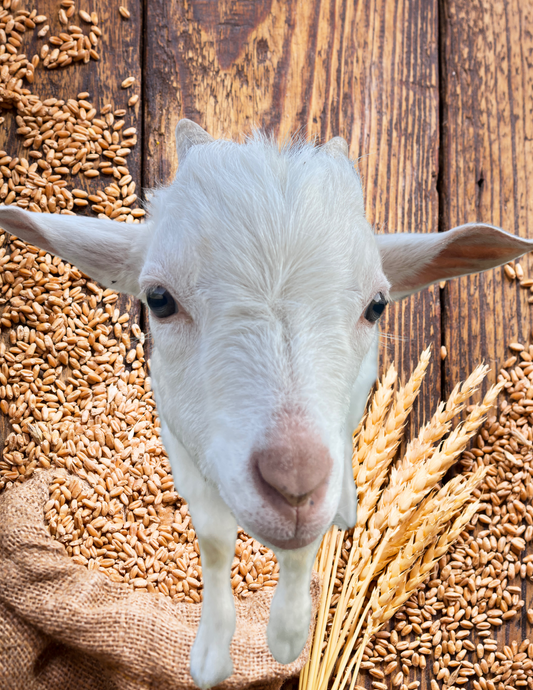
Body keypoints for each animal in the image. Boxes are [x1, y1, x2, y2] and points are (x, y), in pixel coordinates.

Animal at [0, 120, 531, 688]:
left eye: (376, 305)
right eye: (159, 299)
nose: (295, 481)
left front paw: (290, 632)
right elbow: (214, 544)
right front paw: (215, 656)